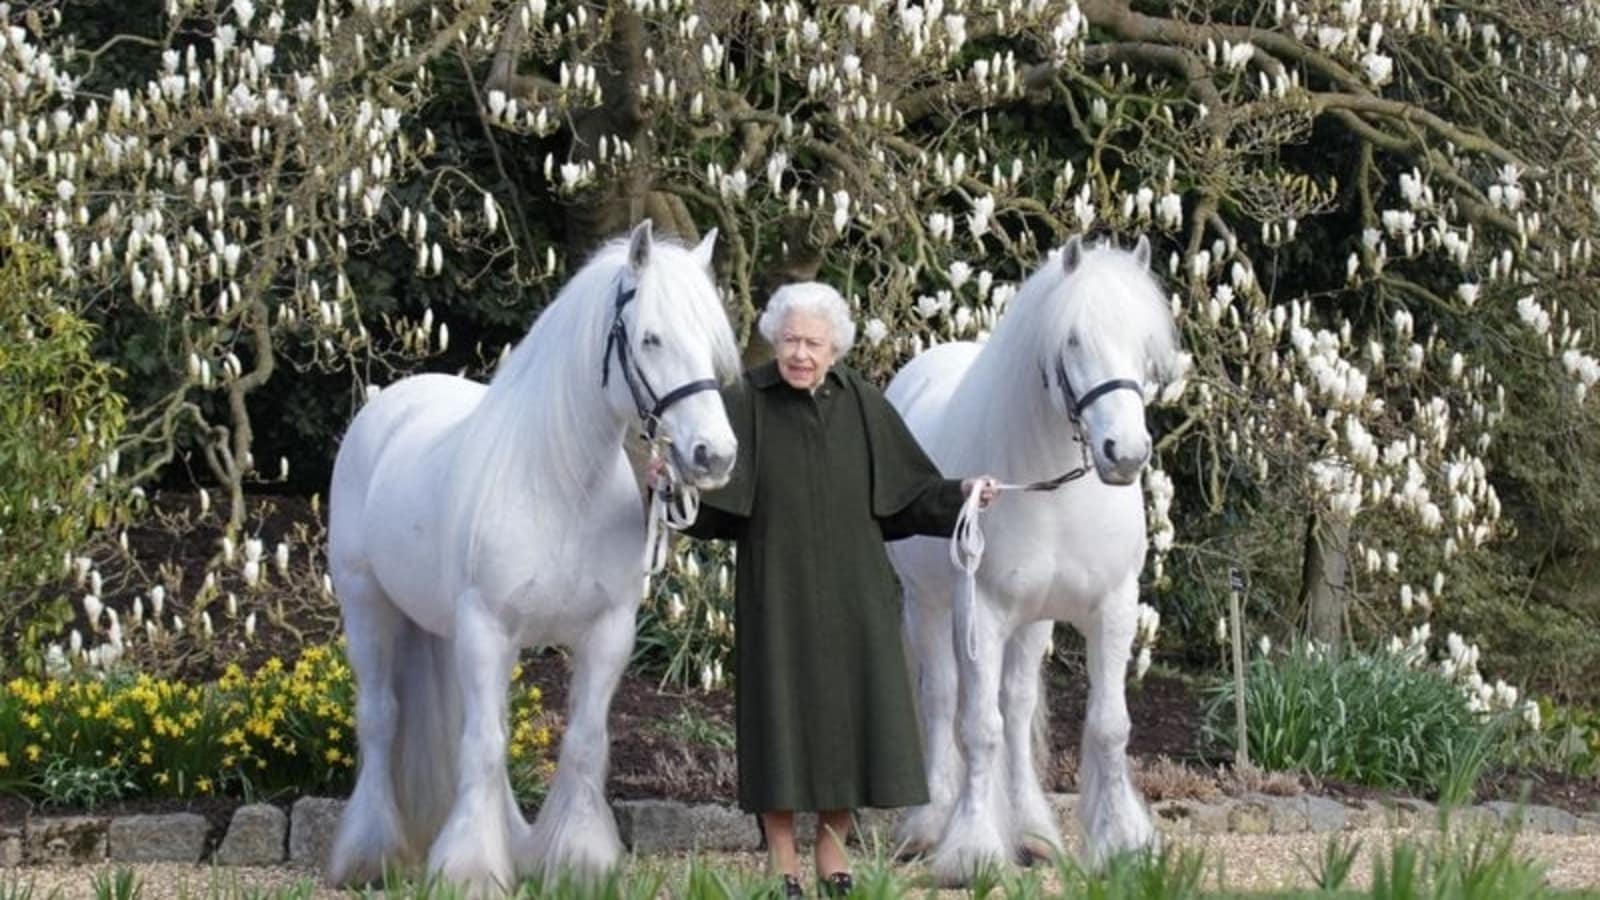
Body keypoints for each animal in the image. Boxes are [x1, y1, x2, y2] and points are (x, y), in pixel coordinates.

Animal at [329, 219, 742, 890]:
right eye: (651, 338)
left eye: (710, 343)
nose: (715, 455)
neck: (560, 485)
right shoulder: (486, 628)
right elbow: (484, 745)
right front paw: (469, 871)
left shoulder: (607, 633)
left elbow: (581, 742)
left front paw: (578, 860)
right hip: (367, 606)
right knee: (381, 718)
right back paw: (370, 855)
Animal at [883, 235, 1184, 877]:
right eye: (1072, 340)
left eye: (1144, 344)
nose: (1125, 453)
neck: (1055, 490)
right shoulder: (983, 612)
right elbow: (978, 728)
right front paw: (971, 850)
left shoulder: (1114, 608)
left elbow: (1107, 726)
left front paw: (1122, 842)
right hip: (929, 606)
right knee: (943, 698)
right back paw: (928, 825)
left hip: (1032, 621)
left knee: (1017, 707)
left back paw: (1032, 832)